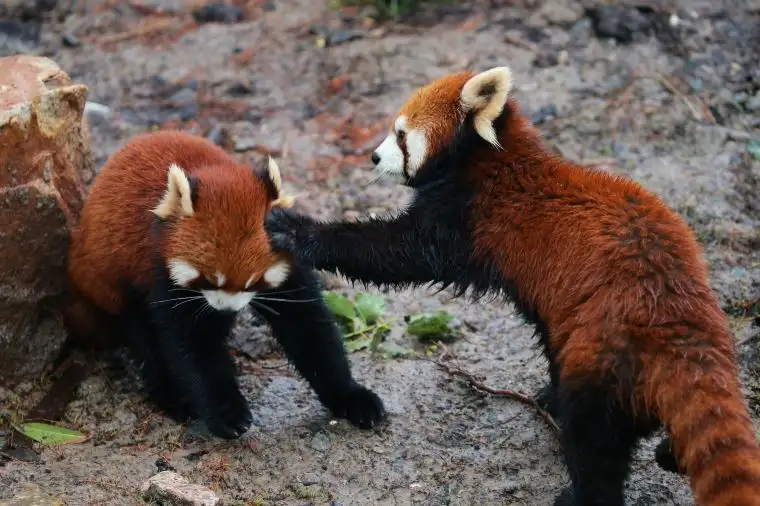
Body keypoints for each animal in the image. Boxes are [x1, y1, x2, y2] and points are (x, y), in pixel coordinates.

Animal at [63, 129, 386, 438]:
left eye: (254, 281)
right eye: (209, 279)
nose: (226, 308)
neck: (215, 171)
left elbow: (309, 328)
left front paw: (351, 396)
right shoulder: (161, 275)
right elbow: (193, 346)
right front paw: (226, 413)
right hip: (113, 283)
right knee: (145, 339)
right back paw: (173, 396)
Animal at [266, 68, 760, 506]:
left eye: (400, 134)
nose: (372, 157)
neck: (490, 158)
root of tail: (678, 317)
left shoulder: (466, 218)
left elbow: (390, 252)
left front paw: (297, 230)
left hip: (605, 357)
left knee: (593, 443)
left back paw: (580, 493)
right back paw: (663, 449)